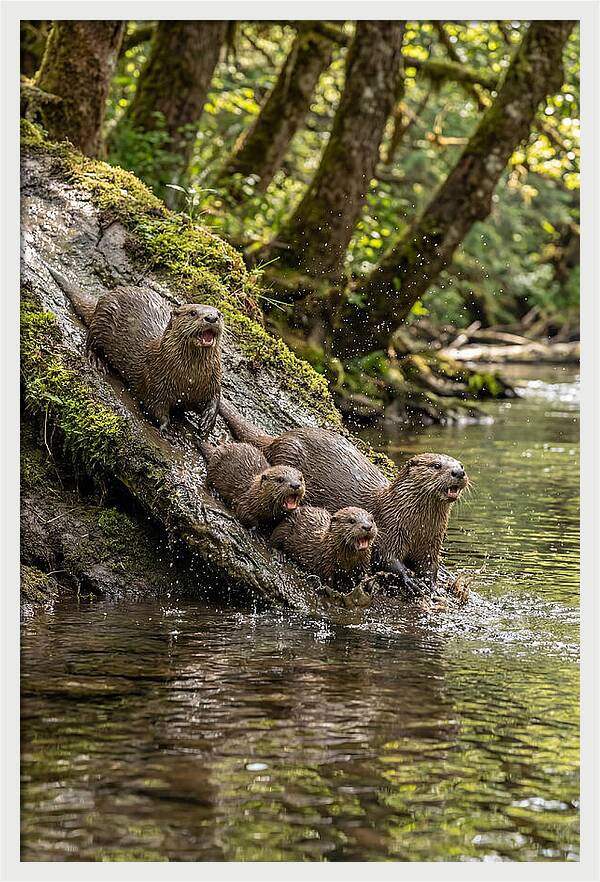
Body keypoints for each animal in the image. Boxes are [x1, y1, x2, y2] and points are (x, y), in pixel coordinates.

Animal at [47, 267, 223, 438]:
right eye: (193, 312)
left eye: (220, 314)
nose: (212, 317)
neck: (189, 379)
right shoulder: (155, 381)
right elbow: (155, 406)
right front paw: (168, 429)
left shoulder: (212, 380)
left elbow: (215, 398)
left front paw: (207, 421)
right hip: (102, 319)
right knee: (90, 340)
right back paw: (97, 361)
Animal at [219, 400, 468, 583]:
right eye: (437, 465)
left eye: (461, 464)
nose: (458, 472)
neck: (418, 527)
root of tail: (280, 438)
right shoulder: (389, 531)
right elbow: (386, 557)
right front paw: (409, 578)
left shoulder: (432, 543)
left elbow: (430, 564)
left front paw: (432, 579)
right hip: (287, 457)